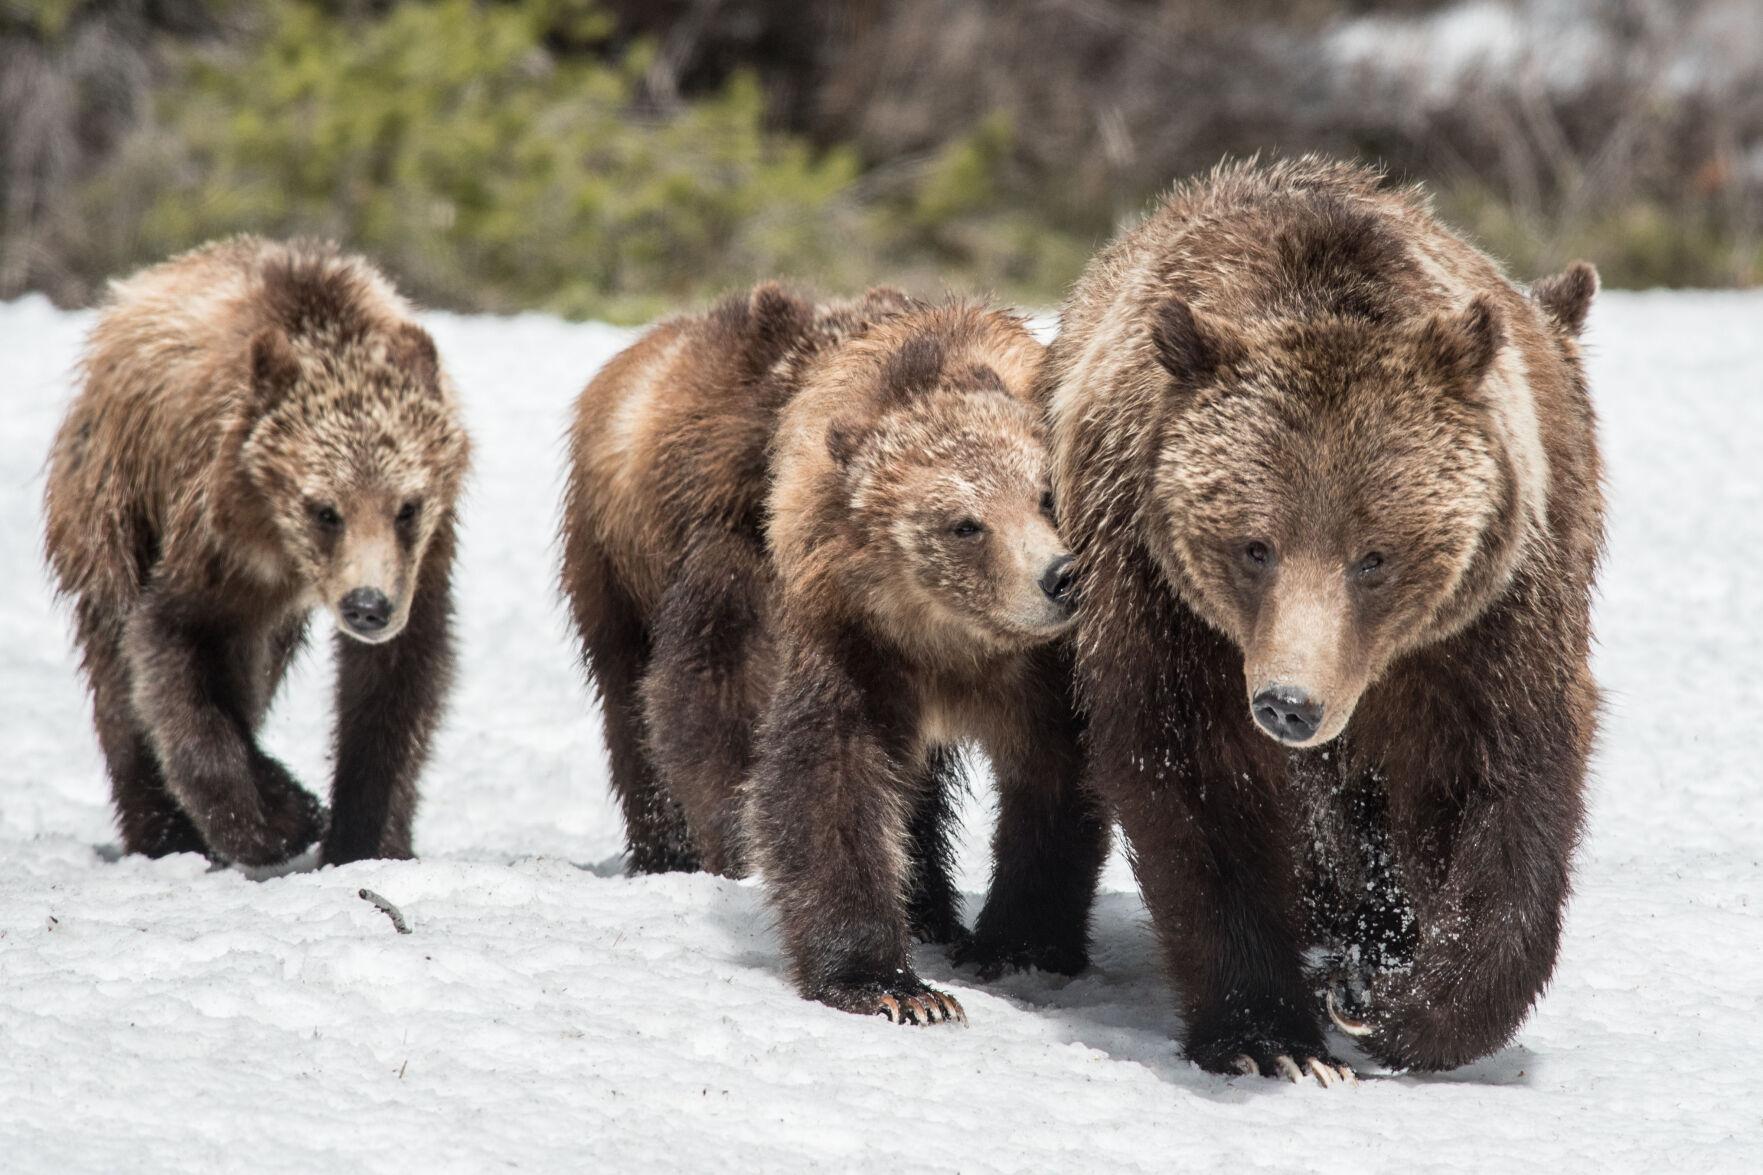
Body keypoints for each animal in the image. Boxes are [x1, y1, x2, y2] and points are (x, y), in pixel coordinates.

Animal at [47, 236, 472, 860]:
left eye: (407, 507)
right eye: (325, 510)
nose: (367, 607)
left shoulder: (421, 565)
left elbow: (395, 684)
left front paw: (364, 836)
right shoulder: (211, 538)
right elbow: (174, 647)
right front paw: (272, 819)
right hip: (110, 499)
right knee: (115, 658)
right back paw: (163, 829)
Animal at [564, 287, 1107, 1023]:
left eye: (1044, 494)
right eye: (965, 524)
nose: (1059, 577)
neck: (949, 640)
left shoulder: (1043, 672)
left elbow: (1055, 782)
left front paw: (1019, 944)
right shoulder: (839, 637)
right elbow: (825, 779)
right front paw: (893, 986)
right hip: (626, 569)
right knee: (647, 711)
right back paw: (672, 852)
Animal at [1036, 157, 1607, 1079]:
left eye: (1374, 555)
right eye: (1253, 545)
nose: (1288, 703)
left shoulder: (1488, 621)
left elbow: (1504, 780)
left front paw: (1410, 1005)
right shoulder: (1158, 595)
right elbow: (1194, 779)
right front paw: (1270, 1037)